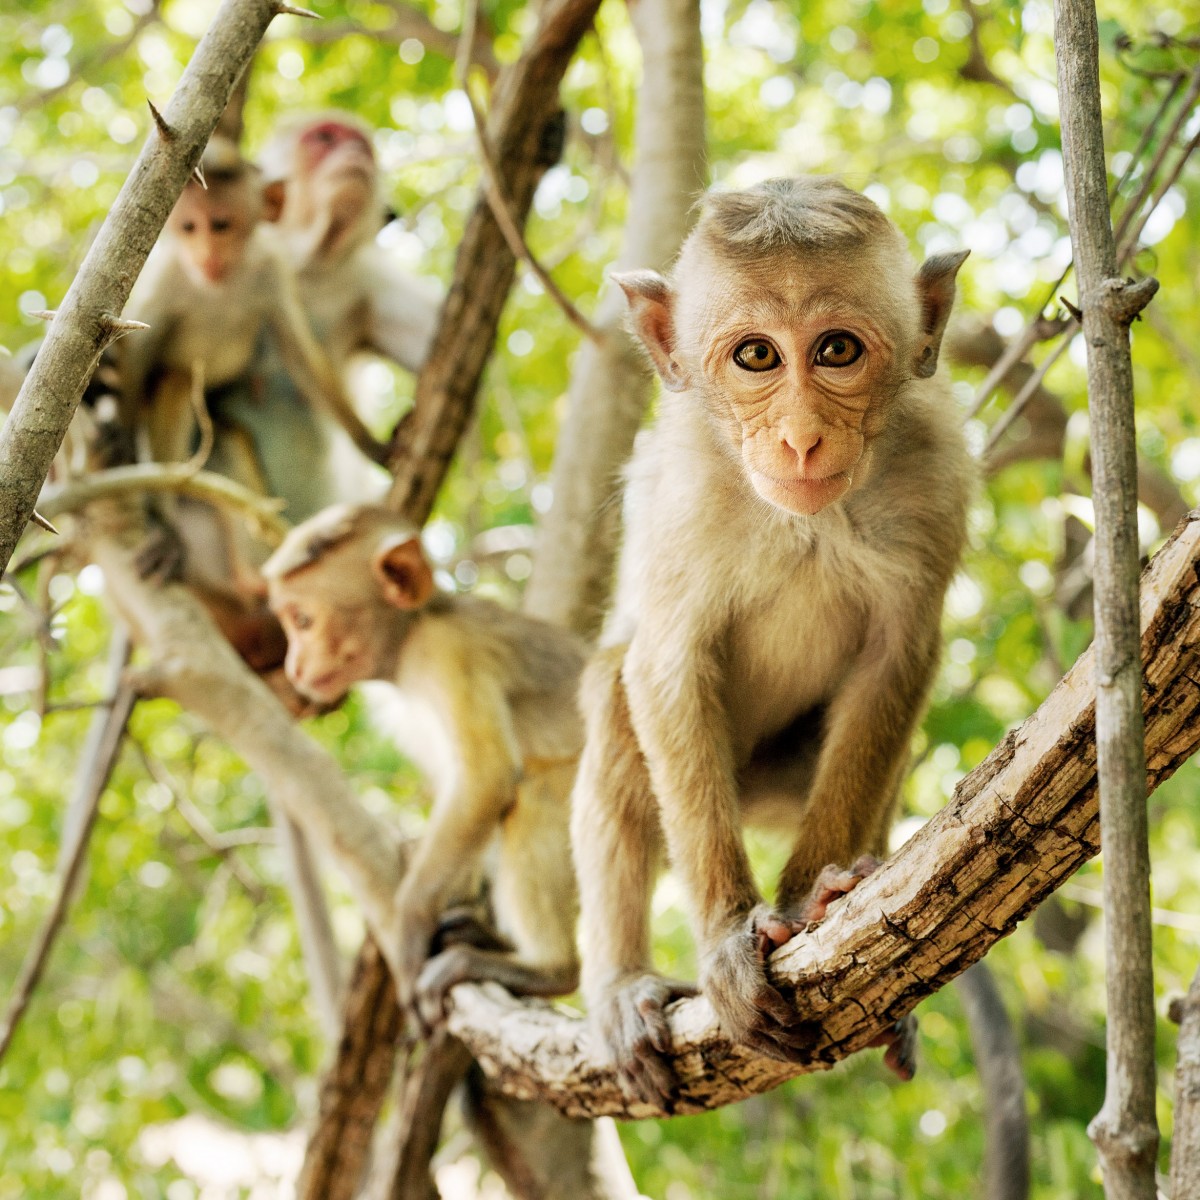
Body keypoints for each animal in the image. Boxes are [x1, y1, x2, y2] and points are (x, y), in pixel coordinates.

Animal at [262, 504, 585, 1022]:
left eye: (304, 621)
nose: (293, 666)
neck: (411, 634)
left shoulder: (447, 652)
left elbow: (483, 779)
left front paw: (410, 925)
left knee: (534, 797)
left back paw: (549, 969)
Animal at [571, 177, 974, 1104]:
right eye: (756, 357)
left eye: (836, 350)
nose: (799, 435)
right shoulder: (680, 489)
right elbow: (666, 664)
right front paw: (729, 932)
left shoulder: (936, 475)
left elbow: (895, 661)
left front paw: (806, 904)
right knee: (614, 696)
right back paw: (620, 984)